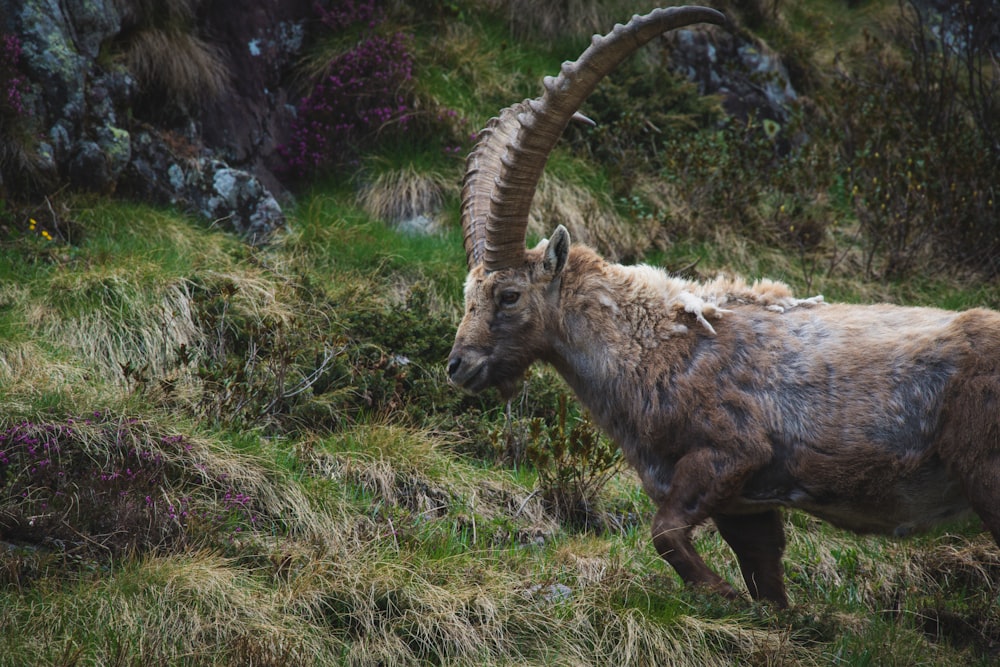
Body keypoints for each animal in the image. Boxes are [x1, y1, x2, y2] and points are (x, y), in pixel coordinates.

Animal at [448, 5, 1000, 608]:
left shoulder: (730, 454)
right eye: (467, 293)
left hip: (987, 472)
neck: (655, 345)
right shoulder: (745, 508)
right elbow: (765, 580)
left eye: (508, 294)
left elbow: (665, 532)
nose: (457, 366)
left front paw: (721, 595)